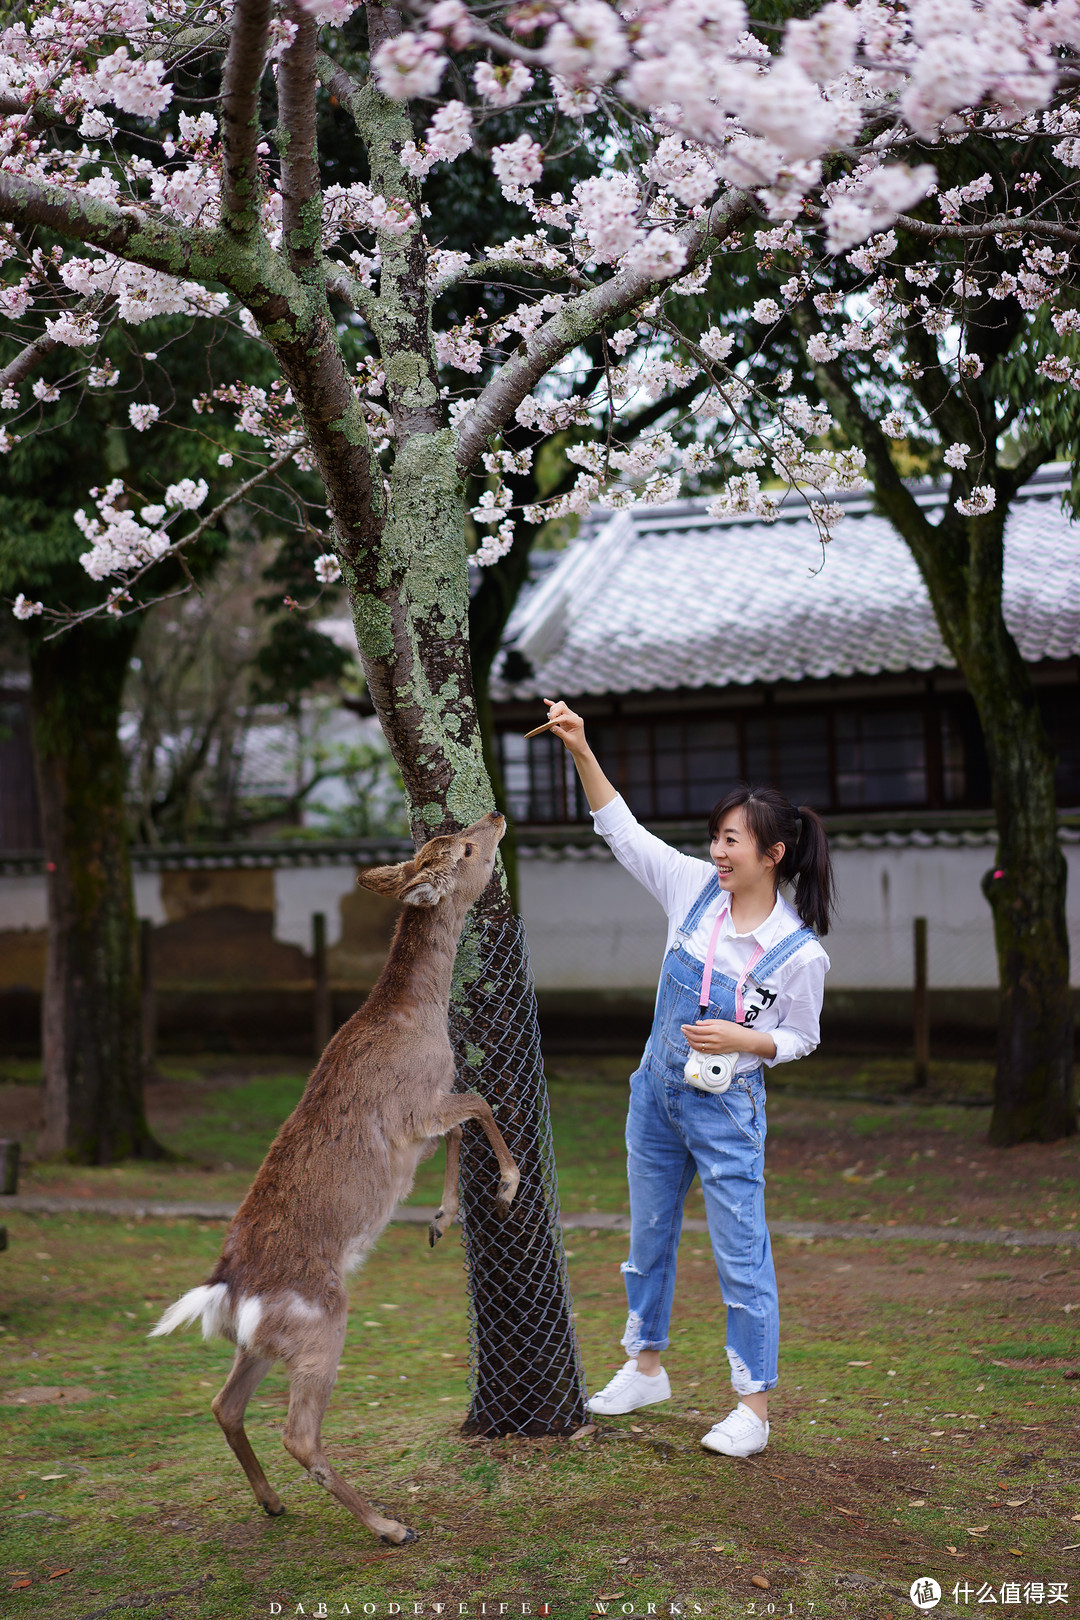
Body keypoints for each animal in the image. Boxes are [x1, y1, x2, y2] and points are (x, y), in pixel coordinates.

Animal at [149, 810, 518, 1542]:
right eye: (464, 849)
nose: (493, 817)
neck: (416, 1018)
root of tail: (228, 1290)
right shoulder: (417, 1106)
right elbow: (479, 1106)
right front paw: (505, 1186)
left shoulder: (427, 1110)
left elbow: (463, 1125)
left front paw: (442, 1220)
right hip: (322, 1322)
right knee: (298, 1433)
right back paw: (389, 1526)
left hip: (261, 1342)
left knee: (223, 1404)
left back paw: (272, 1502)